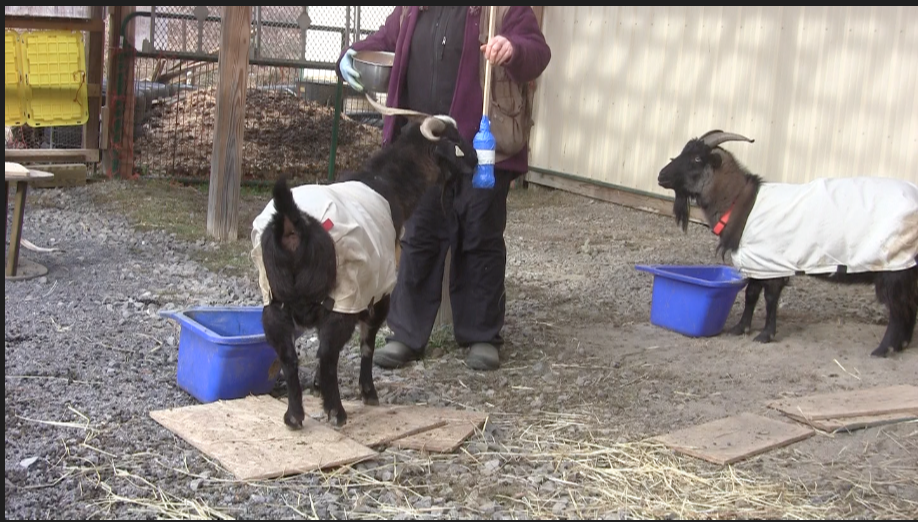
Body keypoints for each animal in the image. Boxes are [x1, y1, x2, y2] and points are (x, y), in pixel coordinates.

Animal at [250, 115, 477, 428]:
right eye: (455, 141)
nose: (478, 159)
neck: (387, 184)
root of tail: (292, 222)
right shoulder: (377, 291)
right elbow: (367, 343)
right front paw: (368, 392)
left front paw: (318, 387)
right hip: (342, 295)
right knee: (328, 353)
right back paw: (337, 412)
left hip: (274, 300)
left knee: (288, 354)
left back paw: (294, 415)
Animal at [657, 130, 918, 357]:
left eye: (697, 158)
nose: (661, 176)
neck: (742, 202)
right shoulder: (756, 263)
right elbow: (751, 294)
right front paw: (740, 328)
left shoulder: (771, 262)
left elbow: (770, 298)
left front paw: (765, 335)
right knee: (909, 306)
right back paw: (902, 344)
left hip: (893, 267)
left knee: (898, 309)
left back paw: (884, 348)